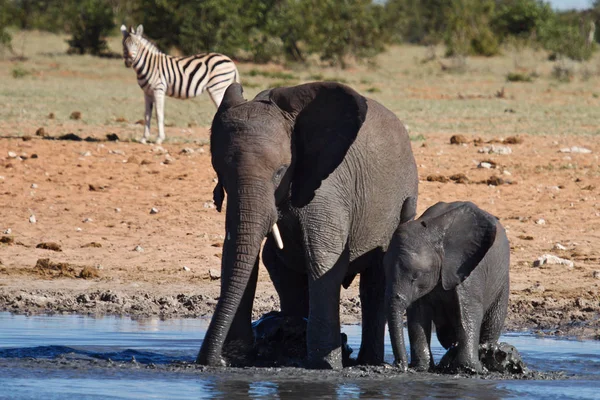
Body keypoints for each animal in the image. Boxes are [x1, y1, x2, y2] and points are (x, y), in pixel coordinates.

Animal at [197, 81, 418, 368]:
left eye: (280, 171)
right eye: (219, 171)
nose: (214, 361)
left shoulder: (328, 186)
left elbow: (323, 259)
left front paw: (326, 365)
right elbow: (237, 253)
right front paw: (238, 357)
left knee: (375, 280)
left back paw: (366, 361)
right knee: (283, 270)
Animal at [386, 202, 508, 374]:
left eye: (415, 276)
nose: (400, 366)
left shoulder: (467, 269)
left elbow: (469, 313)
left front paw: (470, 368)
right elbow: (418, 316)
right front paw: (422, 368)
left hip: (502, 282)